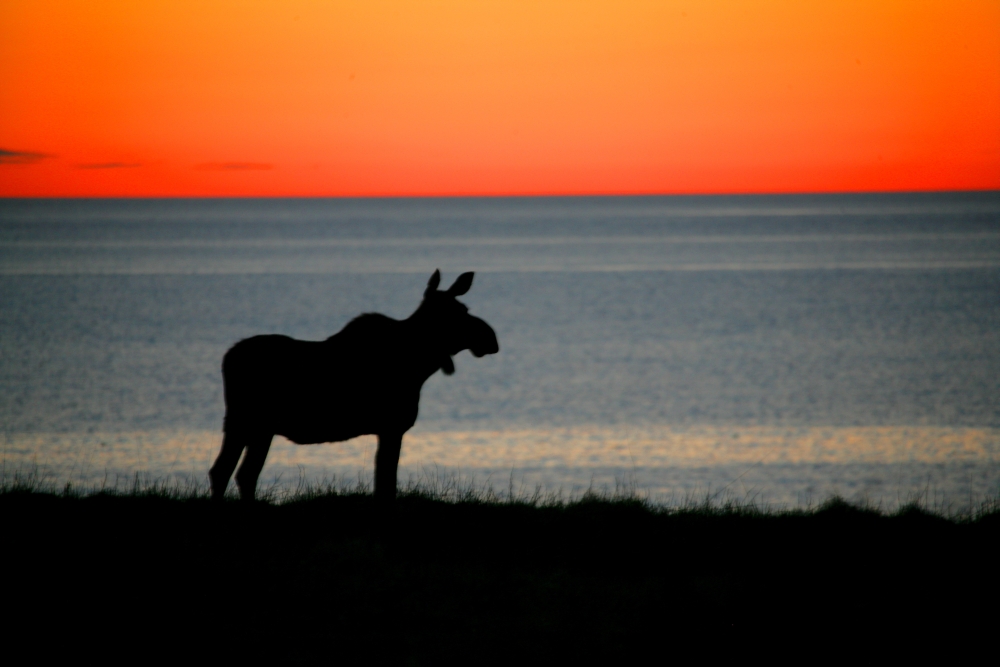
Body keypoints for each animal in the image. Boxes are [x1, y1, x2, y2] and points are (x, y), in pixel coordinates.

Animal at [209, 270, 499, 503]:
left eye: (463, 307)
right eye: (456, 312)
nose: (491, 337)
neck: (419, 366)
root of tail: (227, 357)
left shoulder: (388, 429)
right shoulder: (392, 426)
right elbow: (386, 484)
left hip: (243, 424)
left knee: (228, 471)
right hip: (255, 423)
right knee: (238, 472)